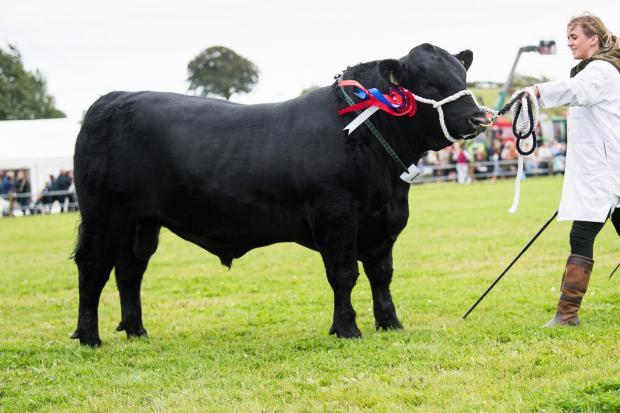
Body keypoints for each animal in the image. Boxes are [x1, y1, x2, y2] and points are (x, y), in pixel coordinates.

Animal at [72, 42, 486, 344]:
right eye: (428, 84)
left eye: (461, 74)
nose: (478, 117)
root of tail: (111, 99)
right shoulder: (336, 214)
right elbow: (344, 273)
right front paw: (347, 329)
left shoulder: (383, 220)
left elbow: (381, 274)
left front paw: (390, 323)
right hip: (104, 217)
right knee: (93, 268)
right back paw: (89, 337)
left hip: (141, 222)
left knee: (129, 271)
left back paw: (136, 330)